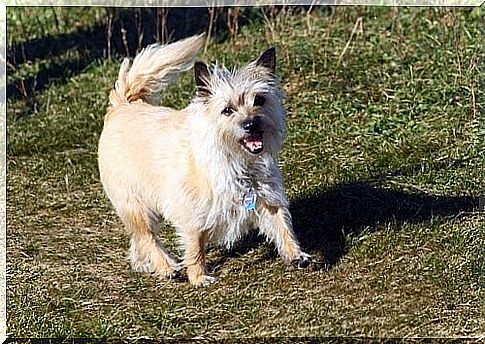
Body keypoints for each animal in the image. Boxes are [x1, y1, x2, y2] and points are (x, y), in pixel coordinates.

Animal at [97, 33, 310, 286]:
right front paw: (198, 276)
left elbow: (283, 225)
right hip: (136, 205)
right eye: (227, 110)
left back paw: (145, 264)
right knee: (147, 236)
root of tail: (122, 105)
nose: (250, 124)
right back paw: (166, 266)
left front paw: (296, 254)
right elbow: (195, 247)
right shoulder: (191, 214)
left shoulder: (268, 197)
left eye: (259, 100)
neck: (238, 161)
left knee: (139, 239)